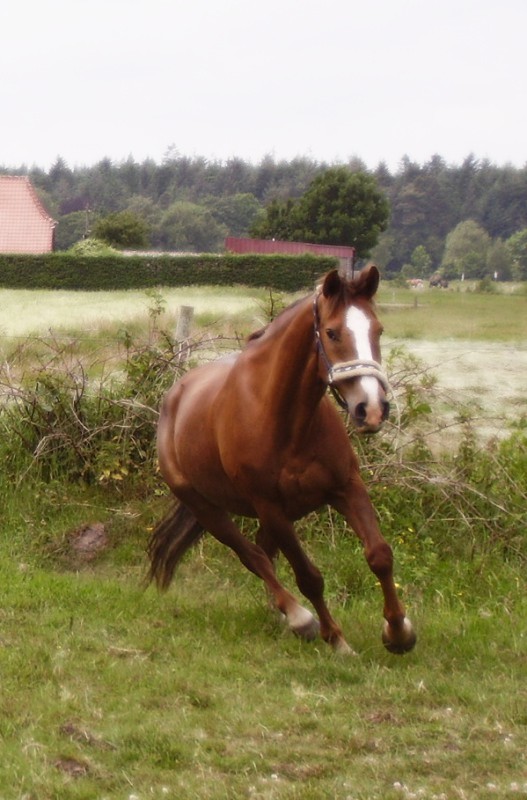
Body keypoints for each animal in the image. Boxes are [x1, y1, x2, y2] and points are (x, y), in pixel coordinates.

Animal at [147, 266, 416, 652]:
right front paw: (335, 639)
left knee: (264, 554)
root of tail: (175, 396)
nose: (372, 410)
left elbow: (379, 555)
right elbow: (309, 576)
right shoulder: (269, 506)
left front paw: (398, 632)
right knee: (253, 556)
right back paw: (298, 616)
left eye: (378, 330)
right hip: (208, 509)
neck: (285, 418)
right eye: (332, 333)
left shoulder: (346, 487)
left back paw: (282, 615)